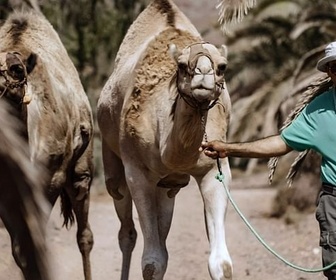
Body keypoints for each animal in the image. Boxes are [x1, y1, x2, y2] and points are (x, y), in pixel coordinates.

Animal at [97, 1, 232, 278]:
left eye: (222, 66)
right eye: (181, 65)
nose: (204, 73)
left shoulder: (215, 168)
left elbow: (221, 263)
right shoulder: (137, 172)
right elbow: (152, 261)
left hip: (169, 186)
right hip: (113, 160)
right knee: (126, 230)